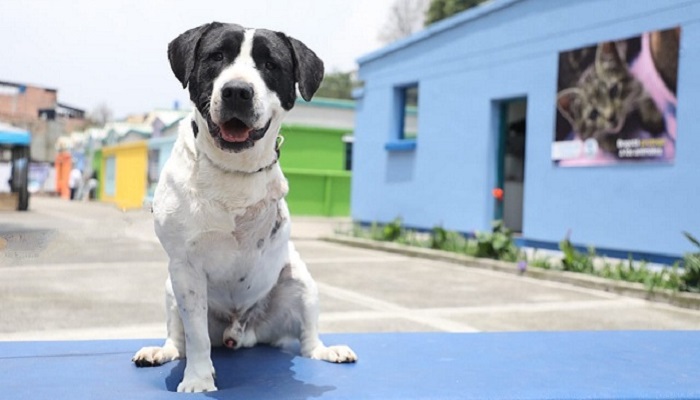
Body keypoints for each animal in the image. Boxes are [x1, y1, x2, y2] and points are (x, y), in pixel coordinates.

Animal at [133, 22, 356, 394]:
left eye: (270, 64)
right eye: (216, 57)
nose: (237, 91)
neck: (232, 167)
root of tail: (241, 330)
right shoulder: (185, 269)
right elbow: (195, 337)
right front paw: (198, 378)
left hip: (301, 283)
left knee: (308, 340)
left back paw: (326, 350)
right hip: (170, 288)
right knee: (179, 339)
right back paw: (161, 351)